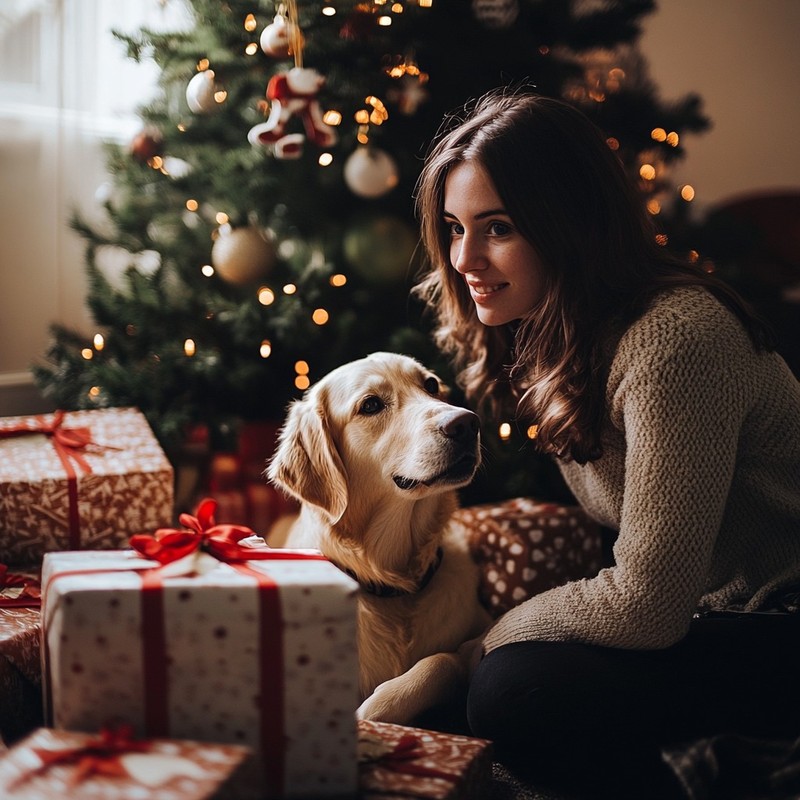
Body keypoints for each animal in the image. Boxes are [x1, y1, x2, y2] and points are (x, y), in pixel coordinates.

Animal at [268, 354, 490, 720]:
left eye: (431, 385)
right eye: (371, 405)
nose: (466, 423)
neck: (396, 586)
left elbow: (444, 659)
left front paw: (377, 706)